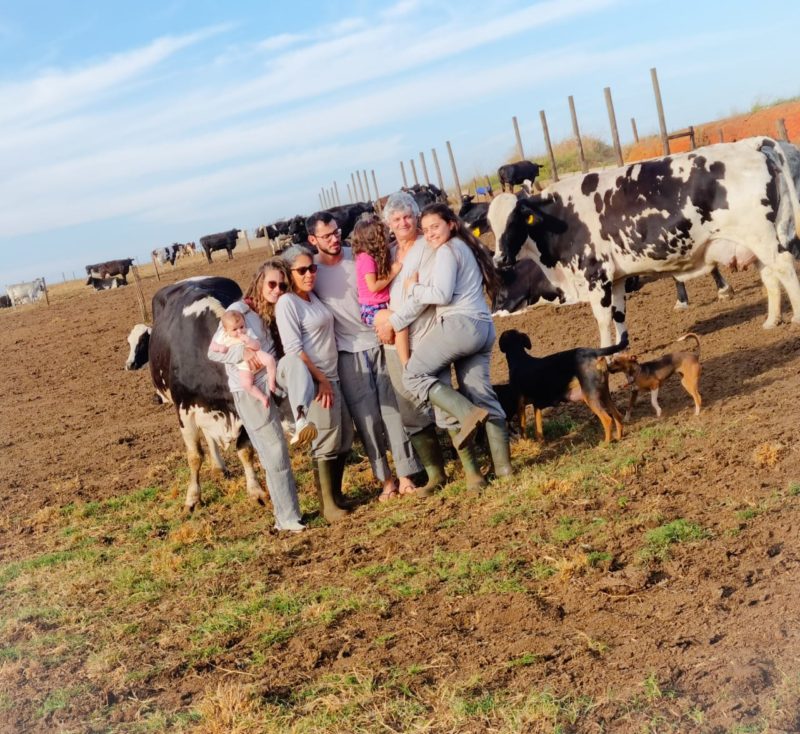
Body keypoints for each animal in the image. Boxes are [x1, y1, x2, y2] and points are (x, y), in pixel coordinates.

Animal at [125, 276, 267, 511]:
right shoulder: (185, 411)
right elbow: (194, 456)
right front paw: (192, 498)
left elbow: (245, 450)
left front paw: (256, 491)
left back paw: (219, 467)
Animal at [489, 138, 800, 347]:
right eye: (491, 225)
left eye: (516, 220)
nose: (499, 259)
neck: (561, 216)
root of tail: (750, 144)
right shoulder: (615, 279)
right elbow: (618, 314)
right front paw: (619, 349)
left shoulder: (595, 277)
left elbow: (602, 319)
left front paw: (603, 355)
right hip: (756, 242)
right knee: (770, 277)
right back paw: (771, 321)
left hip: (762, 237)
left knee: (784, 268)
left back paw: (795, 318)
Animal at [497, 329, 628, 443]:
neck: (519, 358)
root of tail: (592, 351)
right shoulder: (536, 405)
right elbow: (538, 428)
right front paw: (540, 443)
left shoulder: (520, 405)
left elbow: (522, 428)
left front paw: (525, 443)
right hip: (604, 393)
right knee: (617, 415)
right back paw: (619, 437)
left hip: (590, 396)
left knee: (607, 419)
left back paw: (606, 443)